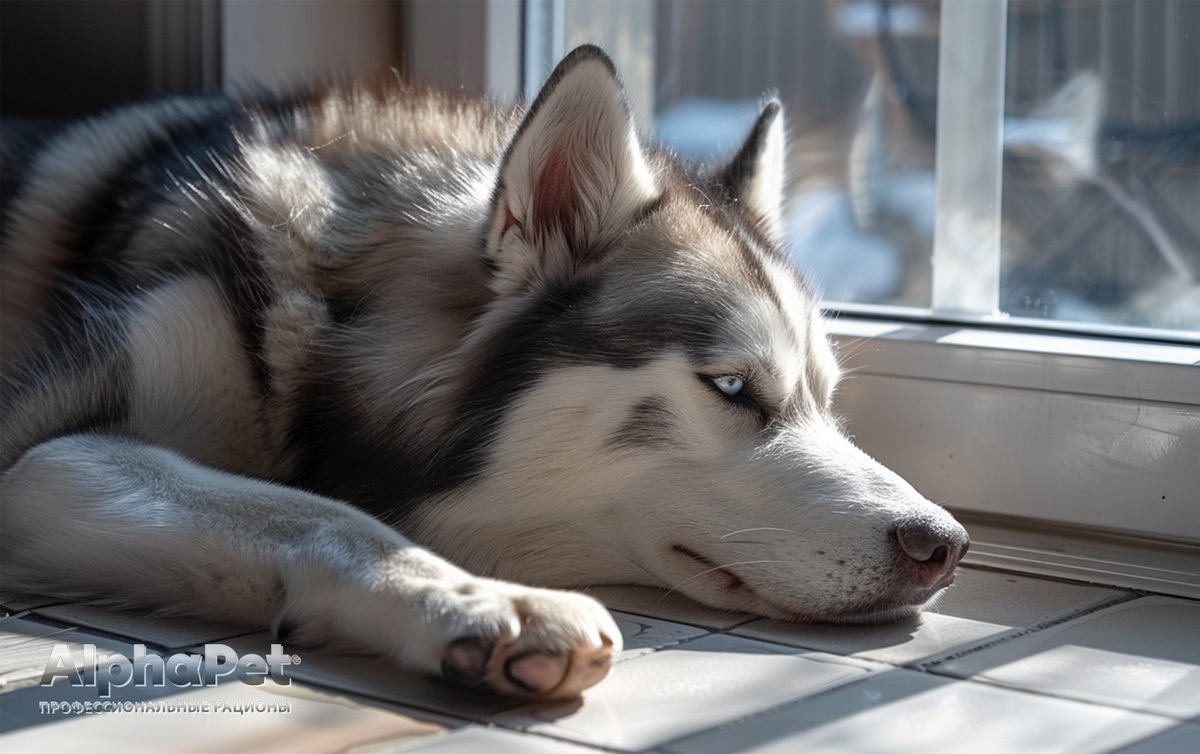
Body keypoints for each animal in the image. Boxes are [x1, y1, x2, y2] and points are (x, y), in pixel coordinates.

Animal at [0, 45, 969, 696]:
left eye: (825, 400)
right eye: (732, 387)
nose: (944, 544)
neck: (315, 317)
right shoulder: (36, 458)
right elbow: (320, 513)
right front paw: (485, 603)